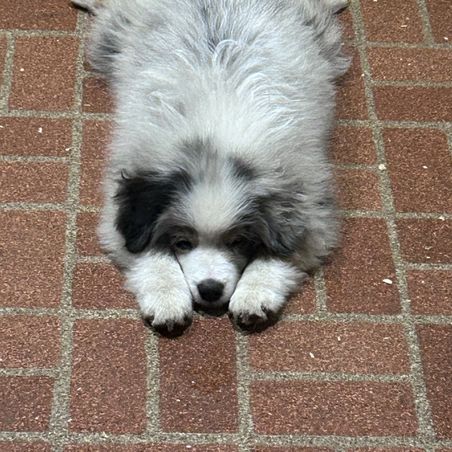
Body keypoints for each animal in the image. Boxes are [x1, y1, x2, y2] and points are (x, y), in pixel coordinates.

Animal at [73, 0, 350, 334]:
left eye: (238, 242)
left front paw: (254, 294)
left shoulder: (312, 211)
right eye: (182, 242)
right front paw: (167, 298)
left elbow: (279, 253)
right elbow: (148, 250)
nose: (210, 289)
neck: (215, 145)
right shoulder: (123, 211)